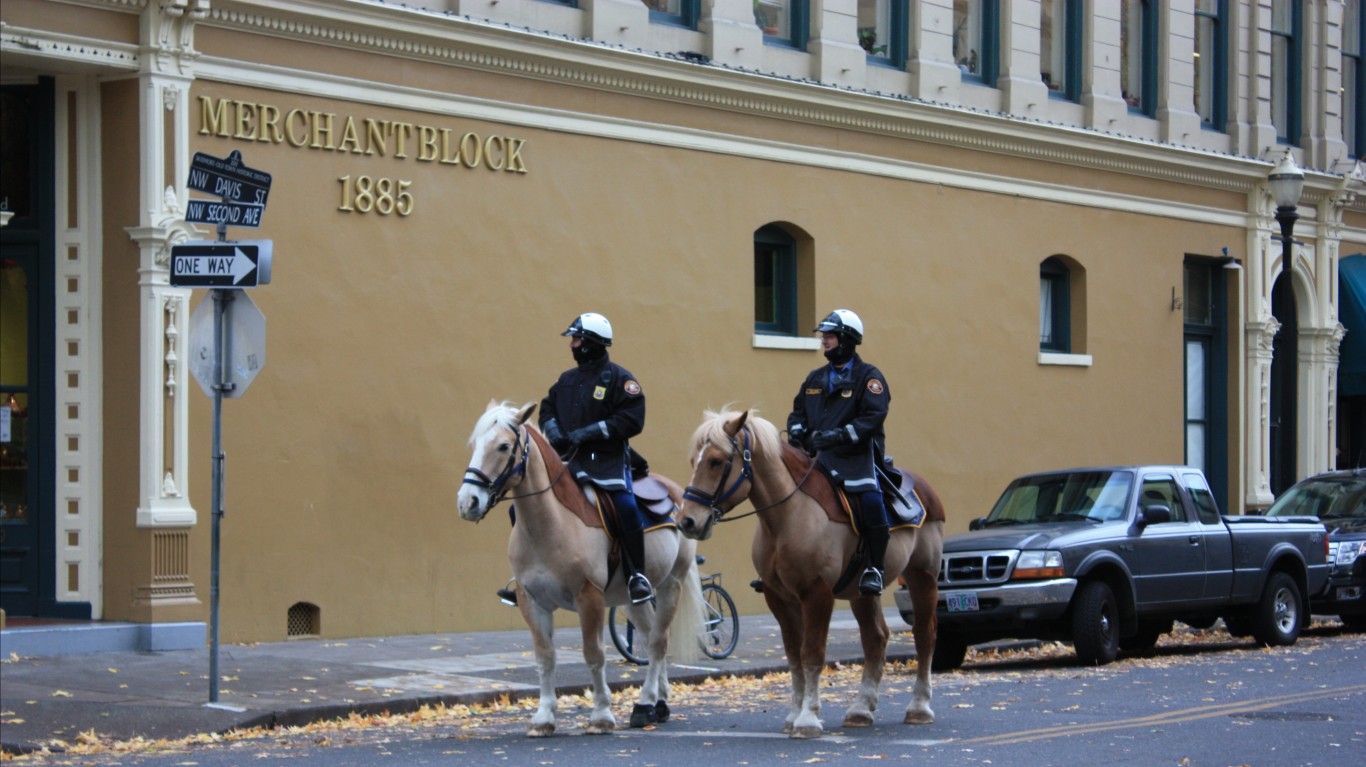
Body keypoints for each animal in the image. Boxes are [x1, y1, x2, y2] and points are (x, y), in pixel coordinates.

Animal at [458, 401, 704, 738]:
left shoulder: (589, 598)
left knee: (657, 642)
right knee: (649, 634)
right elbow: (545, 657)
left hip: (671, 584)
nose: (467, 502)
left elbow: (594, 654)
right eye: (474, 445)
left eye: (504, 446)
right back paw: (659, 703)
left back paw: (645, 704)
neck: (552, 524)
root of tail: (676, 494)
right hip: (630, 600)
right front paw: (544, 717)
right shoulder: (531, 601)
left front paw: (601, 715)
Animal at [677, 410, 945, 738]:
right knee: (876, 638)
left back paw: (919, 707)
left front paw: (807, 719)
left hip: (923, 576)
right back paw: (860, 710)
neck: (787, 517)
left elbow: (812, 653)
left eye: (716, 461)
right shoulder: (779, 597)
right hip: (861, 592)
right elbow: (794, 656)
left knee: (924, 634)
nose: (687, 521)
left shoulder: (816, 594)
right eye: (694, 460)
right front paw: (794, 715)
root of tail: (924, 489)